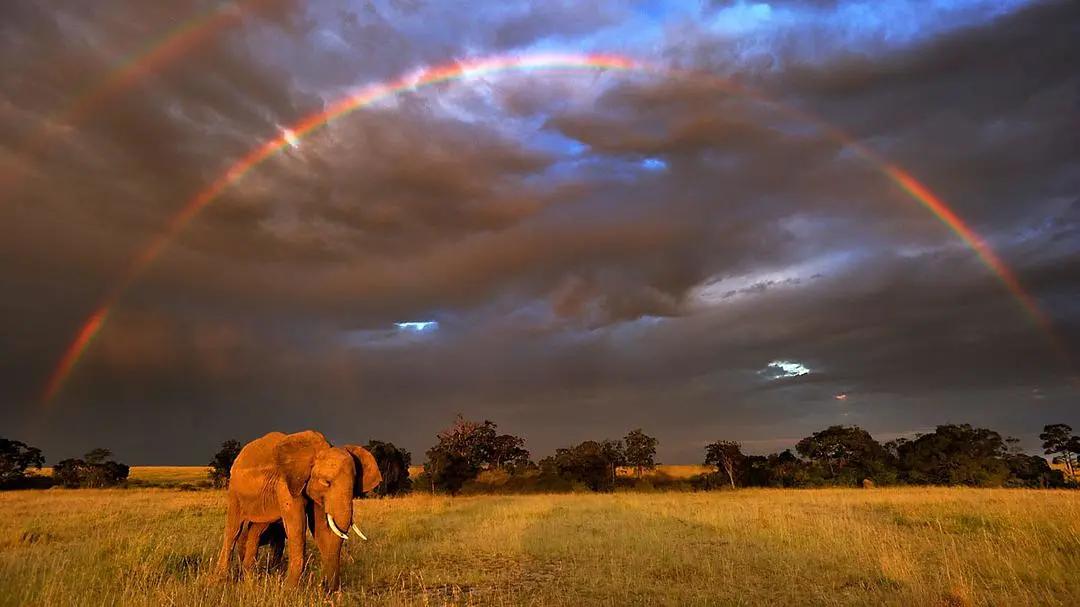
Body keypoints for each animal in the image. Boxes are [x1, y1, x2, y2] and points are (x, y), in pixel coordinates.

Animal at [212, 427, 382, 587]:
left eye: (354, 486)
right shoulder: (285, 484)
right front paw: (289, 590)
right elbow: (297, 527)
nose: (326, 587)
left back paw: (248, 579)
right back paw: (221, 579)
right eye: (326, 482)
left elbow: (319, 529)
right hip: (234, 490)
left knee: (256, 530)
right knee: (233, 529)